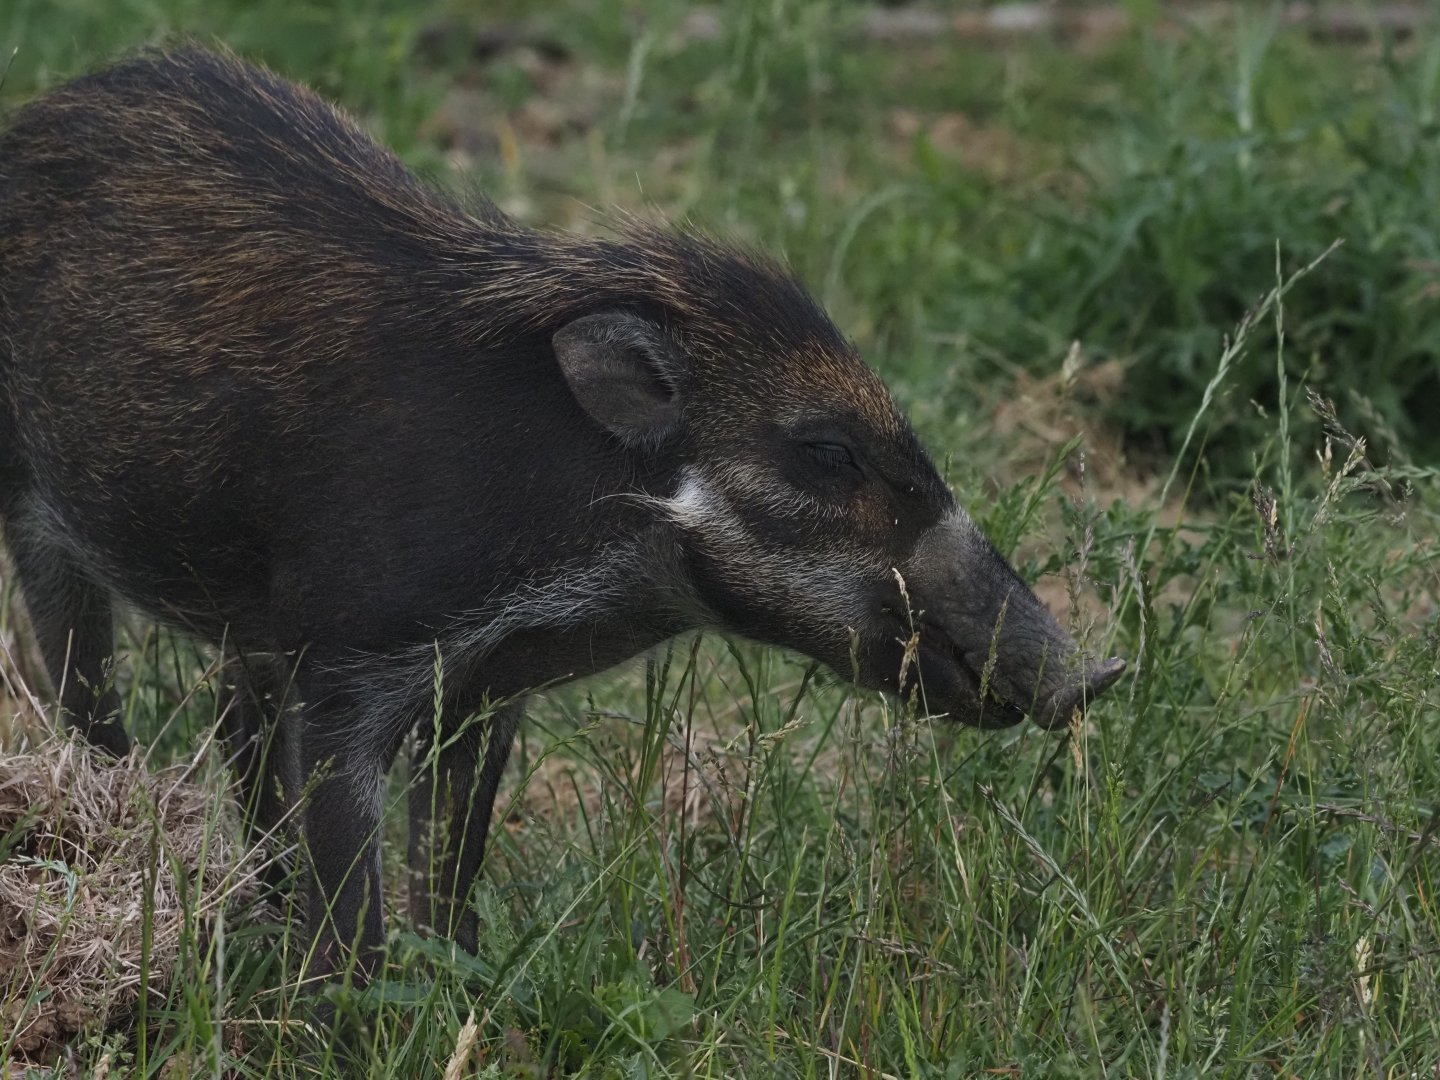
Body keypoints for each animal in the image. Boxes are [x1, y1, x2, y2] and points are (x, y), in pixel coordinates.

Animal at [0, 47, 1124, 991]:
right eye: (825, 450)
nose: (1098, 672)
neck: (591, 562)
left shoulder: (483, 691)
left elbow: (451, 865)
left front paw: (457, 985)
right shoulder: (348, 666)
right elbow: (354, 895)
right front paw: (347, 1016)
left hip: (244, 627)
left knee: (234, 729)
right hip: (40, 522)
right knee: (86, 692)